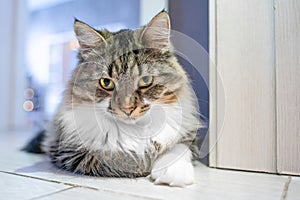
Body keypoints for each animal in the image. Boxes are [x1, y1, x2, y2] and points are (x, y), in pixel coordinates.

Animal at [24, 10, 202, 187]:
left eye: (145, 80)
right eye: (106, 83)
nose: (128, 109)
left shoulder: (188, 134)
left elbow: (176, 148)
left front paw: (173, 172)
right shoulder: (70, 151)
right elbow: (126, 158)